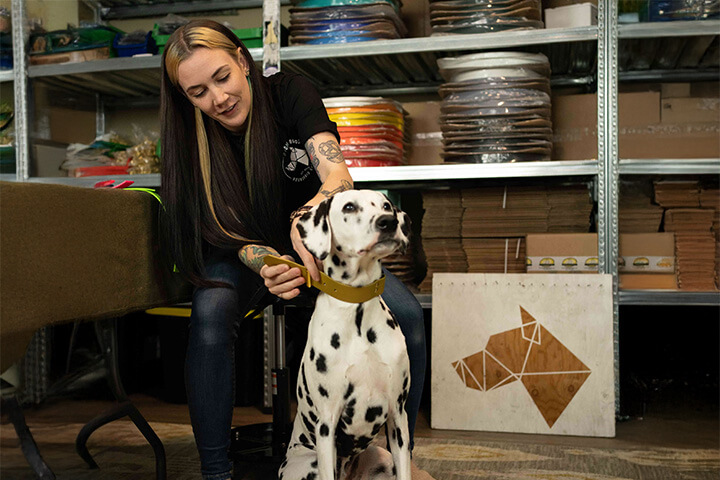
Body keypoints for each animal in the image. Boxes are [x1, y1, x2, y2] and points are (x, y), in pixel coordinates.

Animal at [282, 189, 416, 480]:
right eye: (349, 207)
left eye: (386, 205)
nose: (388, 222)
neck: (358, 312)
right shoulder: (327, 423)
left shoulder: (398, 415)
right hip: (307, 464)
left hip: (382, 456)